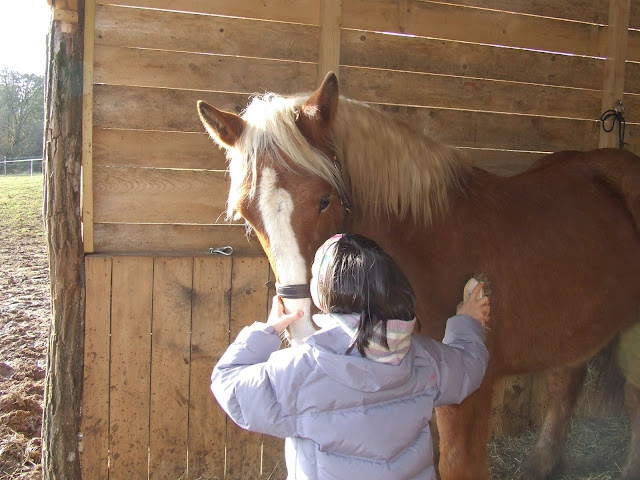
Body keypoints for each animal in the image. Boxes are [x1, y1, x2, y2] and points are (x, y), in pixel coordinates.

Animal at [196, 72, 640, 480]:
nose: (303, 322)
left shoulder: (469, 389)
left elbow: (460, 464)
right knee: (566, 380)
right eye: (248, 215)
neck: (428, 246)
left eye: (324, 199)